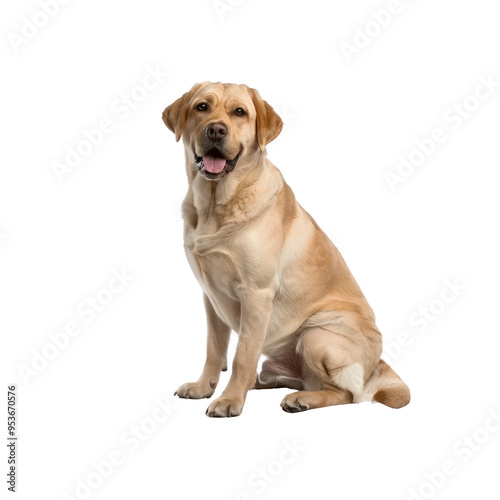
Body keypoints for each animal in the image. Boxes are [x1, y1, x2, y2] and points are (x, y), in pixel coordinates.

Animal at [163, 83, 410, 418]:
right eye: (202, 107)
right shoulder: (210, 296)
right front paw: (204, 387)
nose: (215, 129)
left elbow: (241, 355)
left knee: (344, 393)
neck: (216, 204)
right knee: (289, 376)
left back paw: (299, 399)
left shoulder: (256, 294)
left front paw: (230, 400)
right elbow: (214, 349)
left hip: (316, 333)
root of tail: (377, 365)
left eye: (239, 112)